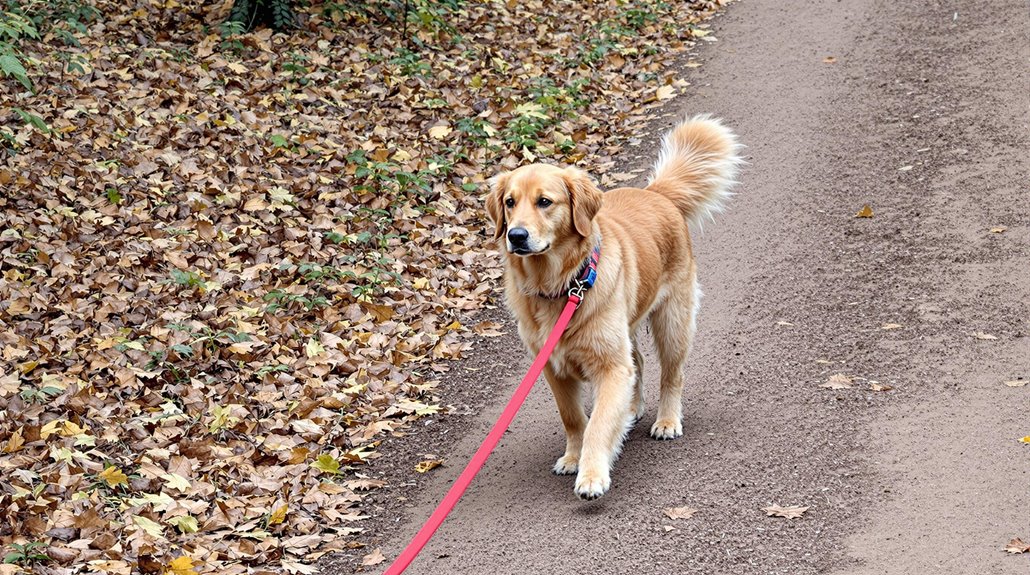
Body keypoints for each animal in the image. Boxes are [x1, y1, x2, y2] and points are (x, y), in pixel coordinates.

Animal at [488, 115, 741, 500]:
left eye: (545, 201)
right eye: (509, 202)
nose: (515, 236)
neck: (561, 285)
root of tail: (656, 193)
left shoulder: (609, 366)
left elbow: (598, 423)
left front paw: (592, 474)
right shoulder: (554, 369)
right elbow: (574, 418)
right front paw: (573, 457)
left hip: (672, 322)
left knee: (672, 374)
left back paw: (667, 420)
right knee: (638, 364)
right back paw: (632, 409)